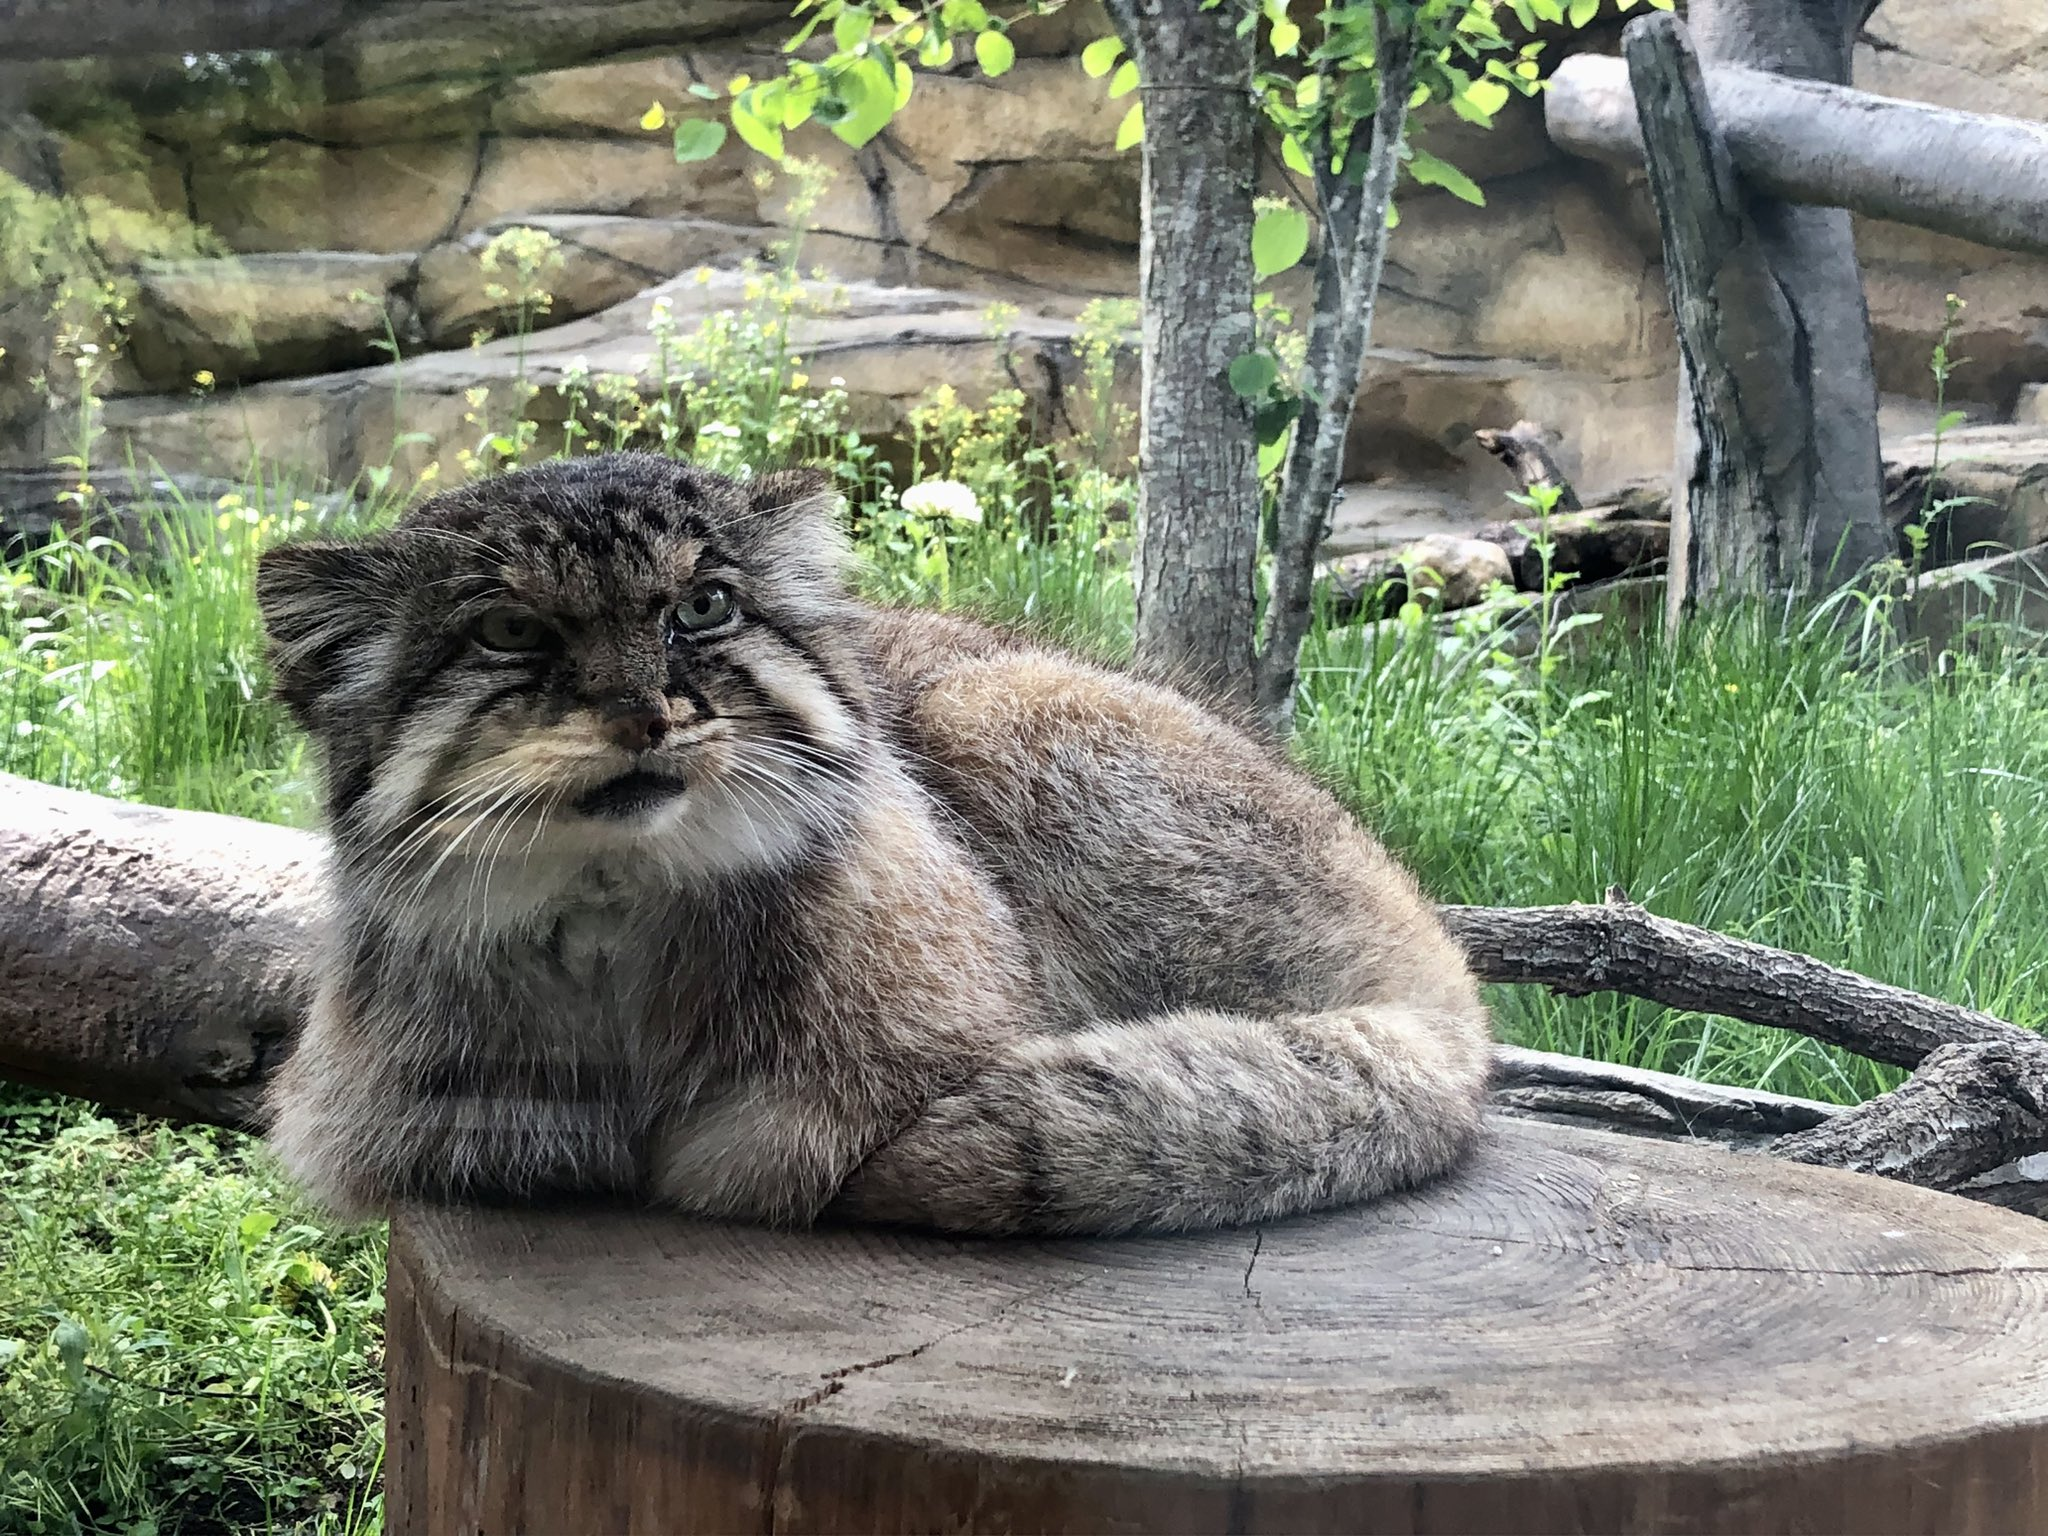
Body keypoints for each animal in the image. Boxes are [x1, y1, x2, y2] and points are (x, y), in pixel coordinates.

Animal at [264, 456, 1499, 1236]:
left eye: (704, 608)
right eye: (511, 630)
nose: (645, 714)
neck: (618, 916)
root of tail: (1440, 965)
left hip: (1000, 705)